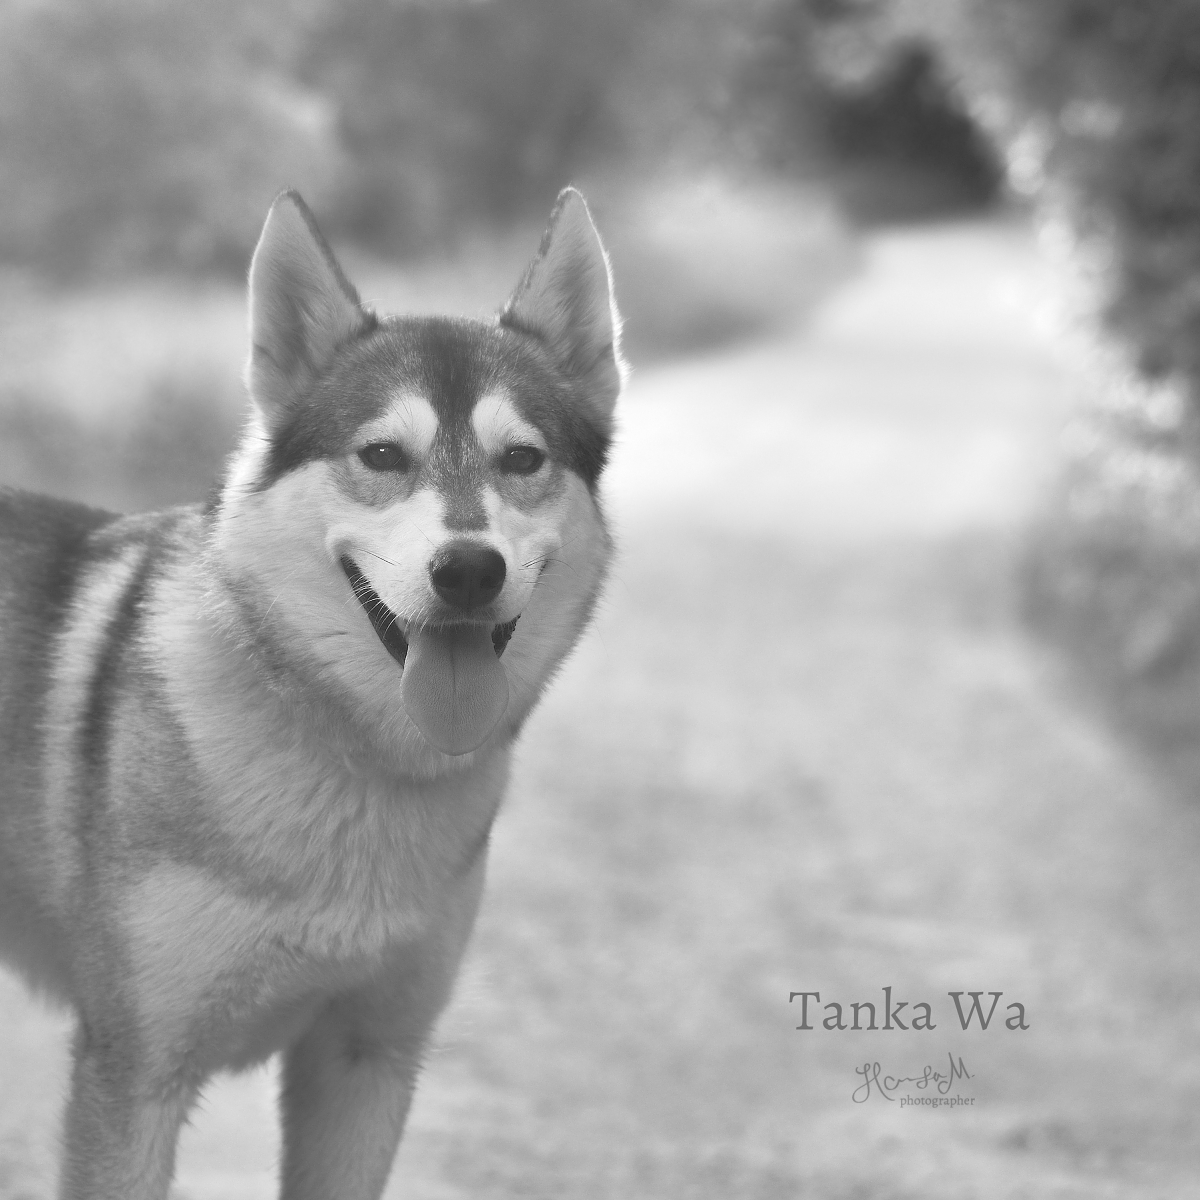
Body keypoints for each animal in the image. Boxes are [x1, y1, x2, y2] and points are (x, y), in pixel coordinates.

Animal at [0, 187, 622, 1199]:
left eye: (522, 460)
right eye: (383, 454)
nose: (468, 570)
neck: (352, 765)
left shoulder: (366, 1062)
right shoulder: (133, 1077)